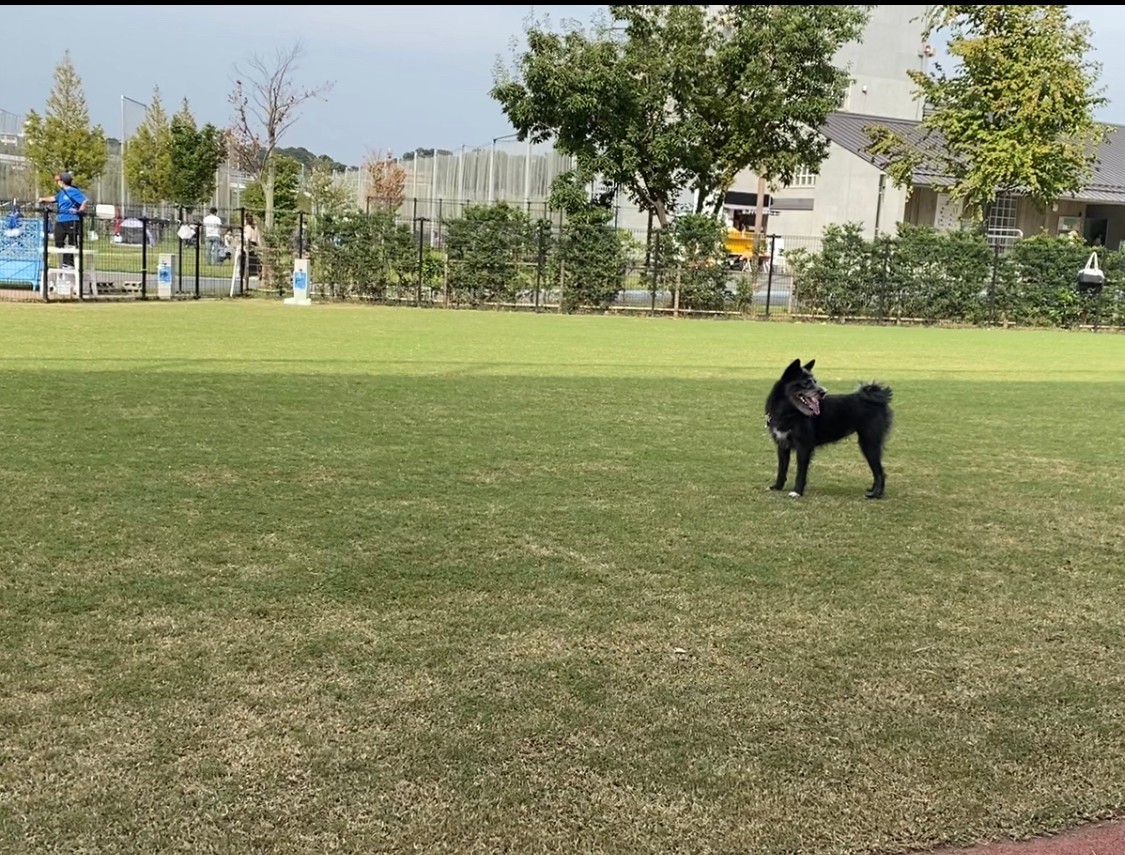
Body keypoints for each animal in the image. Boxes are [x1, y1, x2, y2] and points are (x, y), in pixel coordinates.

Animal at [769, 357, 891, 497]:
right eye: (806, 383)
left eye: (815, 381)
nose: (823, 392)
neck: (788, 412)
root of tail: (878, 399)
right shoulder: (782, 445)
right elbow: (781, 469)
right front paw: (777, 487)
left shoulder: (803, 447)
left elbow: (800, 472)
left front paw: (797, 492)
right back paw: (873, 490)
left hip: (869, 443)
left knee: (880, 472)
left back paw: (876, 494)